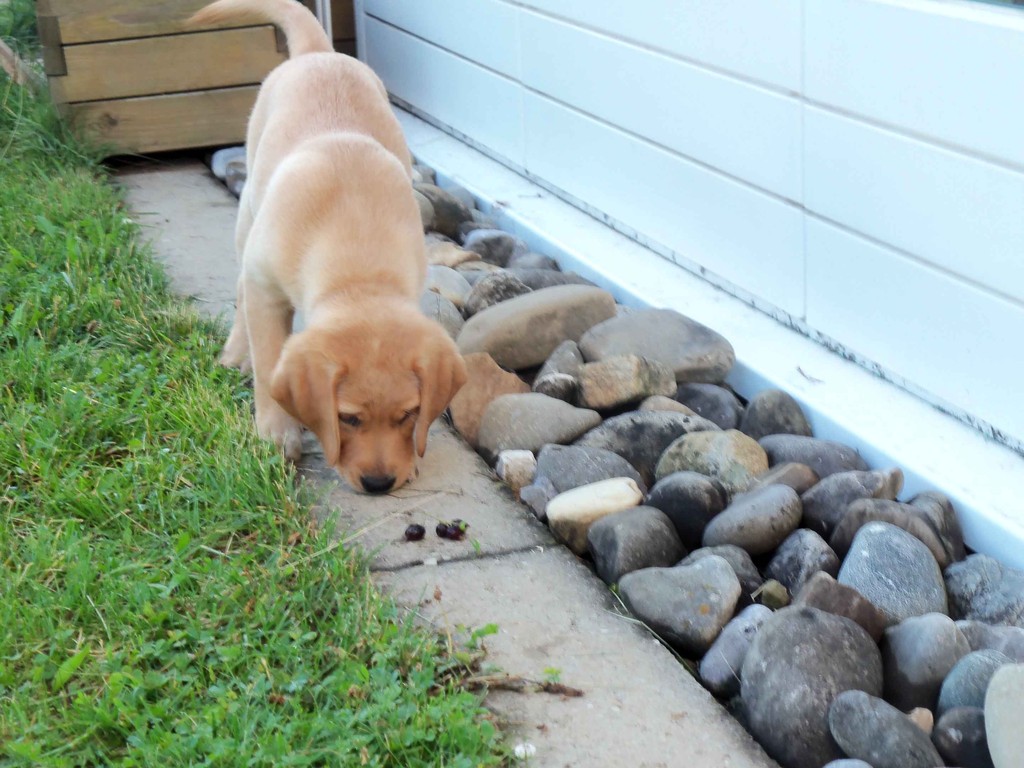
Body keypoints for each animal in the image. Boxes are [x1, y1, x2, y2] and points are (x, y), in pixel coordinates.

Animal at [190, 0, 466, 493]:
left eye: (408, 414)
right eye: (348, 418)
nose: (378, 484)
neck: (357, 264)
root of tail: (319, 52)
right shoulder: (266, 290)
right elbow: (268, 362)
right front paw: (277, 434)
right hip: (249, 210)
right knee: (240, 286)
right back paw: (236, 354)